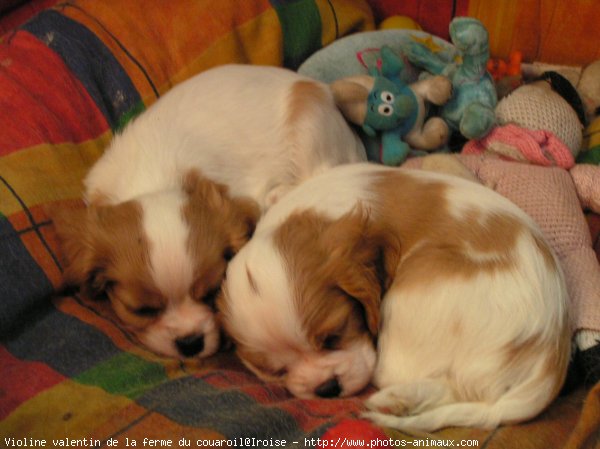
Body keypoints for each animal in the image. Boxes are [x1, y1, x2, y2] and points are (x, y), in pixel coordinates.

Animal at [54, 63, 366, 358]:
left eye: (212, 292)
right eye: (142, 310)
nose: (190, 343)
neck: (154, 179)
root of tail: (324, 91)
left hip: (309, 129)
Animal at [220, 162, 572, 430]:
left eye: (334, 337)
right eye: (277, 371)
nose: (327, 389)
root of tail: (550, 355)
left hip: (411, 292)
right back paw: (399, 401)